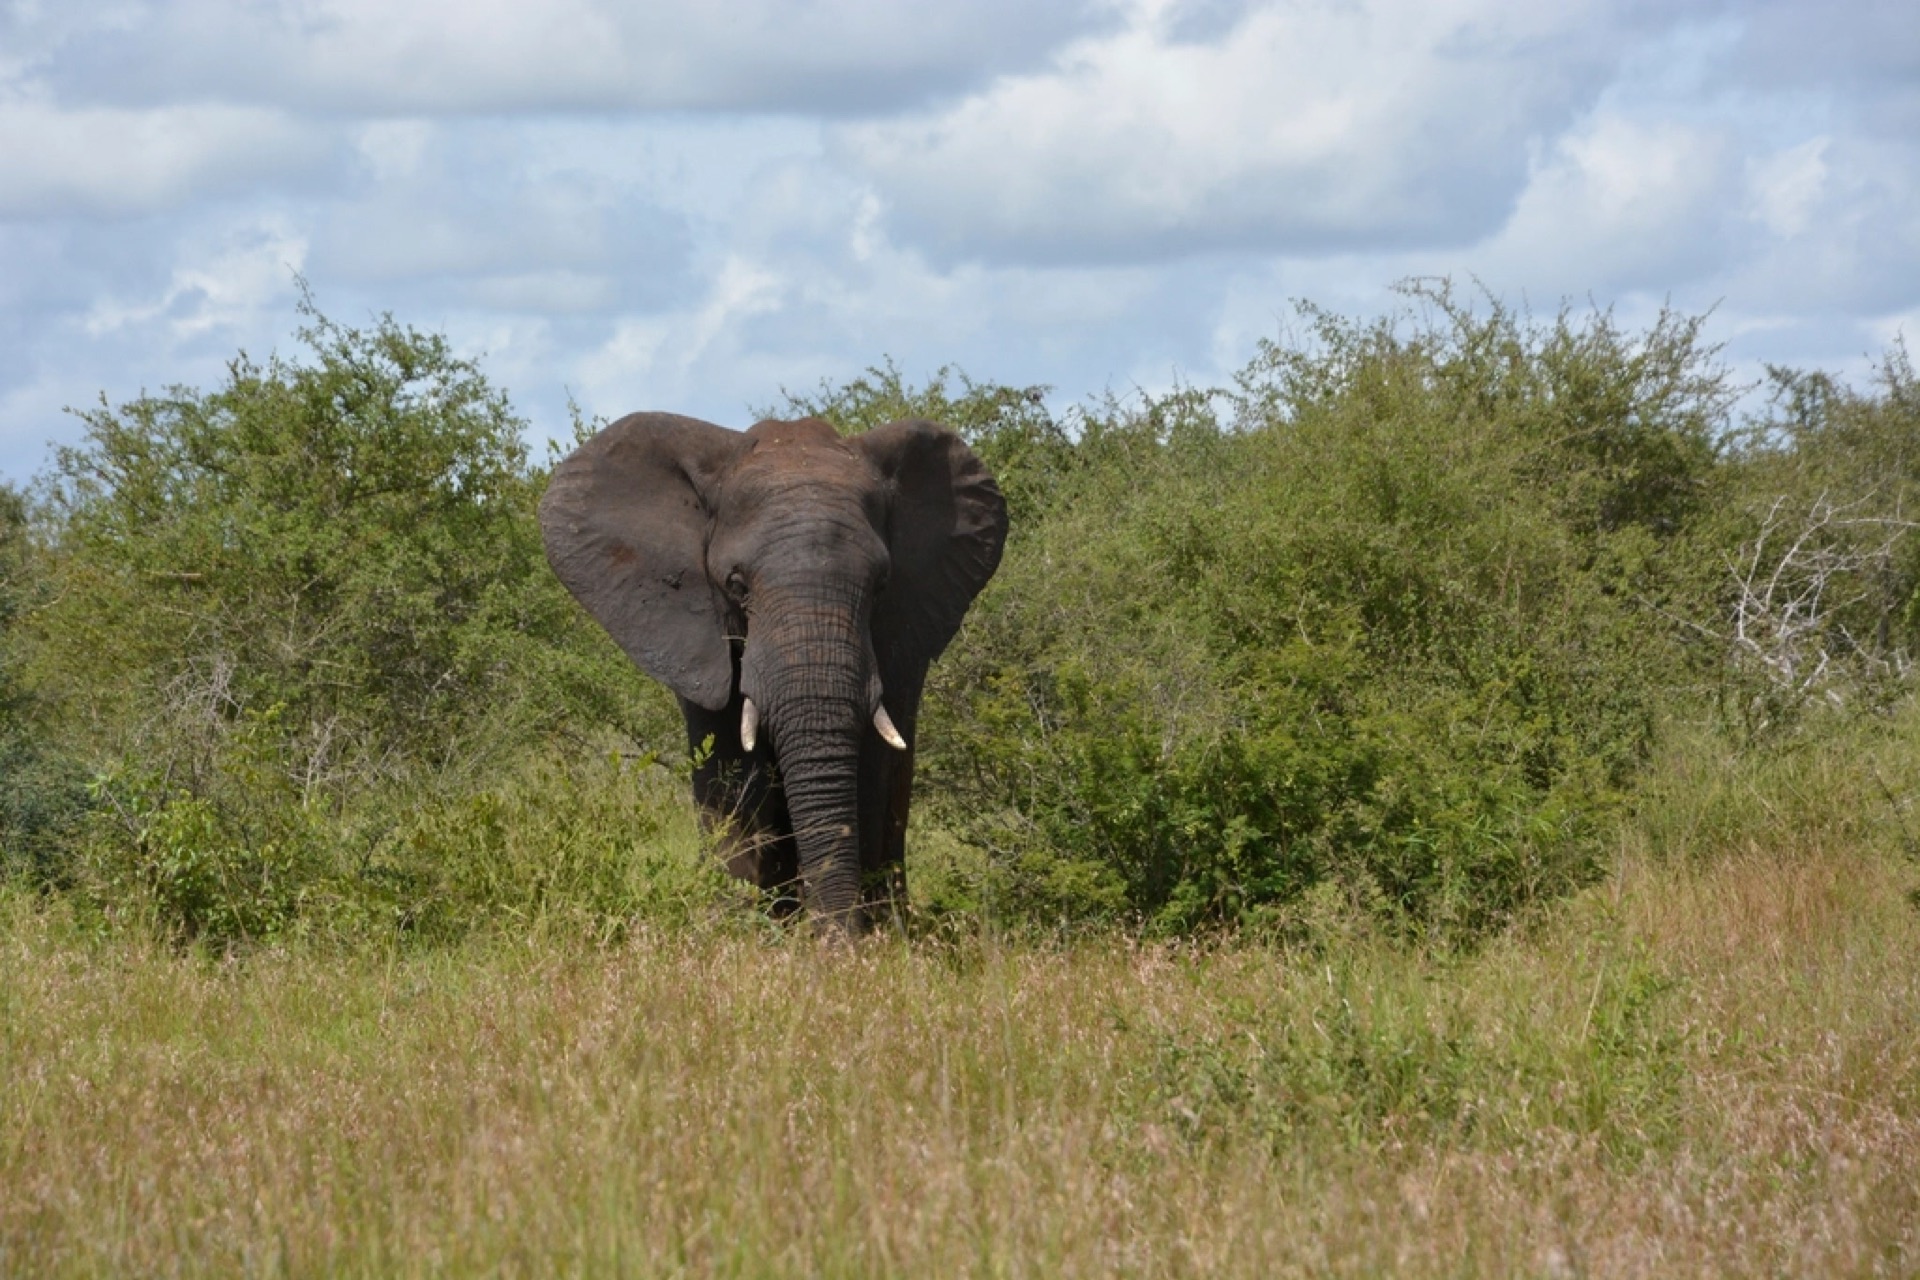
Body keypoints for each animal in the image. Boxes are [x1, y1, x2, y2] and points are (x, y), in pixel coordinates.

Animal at [539, 412, 1007, 935]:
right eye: (736, 585)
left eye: (881, 585)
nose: (835, 941)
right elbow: (728, 754)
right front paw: (741, 931)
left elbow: (874, 762)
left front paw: (875, 938)